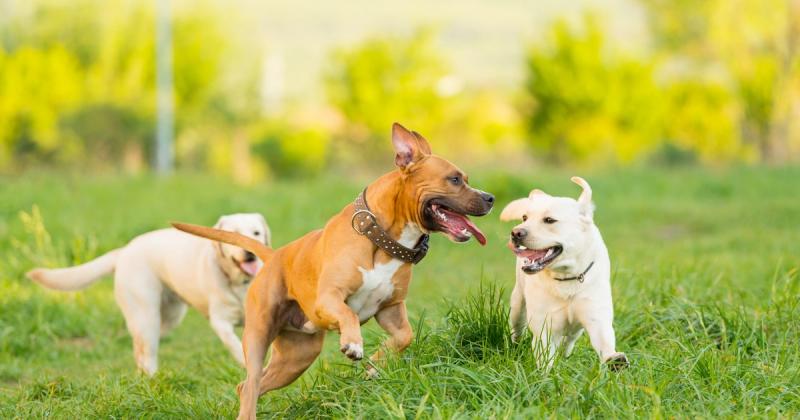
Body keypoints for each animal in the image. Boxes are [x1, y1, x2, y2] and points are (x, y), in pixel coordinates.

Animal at [26, 213, 270, 374]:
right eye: (231, 234)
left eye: (256, 232)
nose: (249, 251)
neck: (240, 283)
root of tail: (124, 251)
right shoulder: (220, 321)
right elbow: (234, 344)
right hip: (146, 316)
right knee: (146, 353)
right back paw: (152, 381)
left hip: (169, 318)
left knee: (140, 348)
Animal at [173, 122, 494, 420]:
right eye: (455, 179)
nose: (490, 197)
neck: (380, 238)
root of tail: (274, 255)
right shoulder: (328, 299)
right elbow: (348, 313)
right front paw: (353, 344)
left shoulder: (391, 309)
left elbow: (405, 336)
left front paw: (375, 366)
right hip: (257, 335)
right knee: (251, 382)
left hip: (297, 358)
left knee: (248, 386)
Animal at [496, 177, 628, 370]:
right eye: (525, 217)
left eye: (549, 220)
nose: (516, 232)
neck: (566, 277)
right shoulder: (544, 327)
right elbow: (545, 358)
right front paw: (546, 374)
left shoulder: (596, 318)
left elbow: (604, 343)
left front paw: (614, 360)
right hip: (518, 306)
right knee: (517, 330)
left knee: (569, 339)